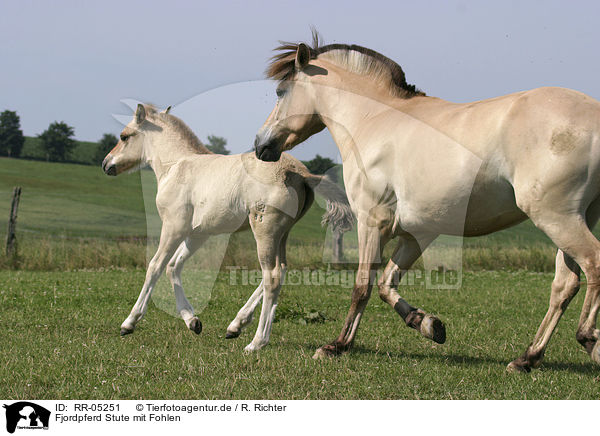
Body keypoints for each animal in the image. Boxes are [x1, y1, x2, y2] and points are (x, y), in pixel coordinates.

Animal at [102, 103, 352, 350]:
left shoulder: (174, 227)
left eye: (124, 136)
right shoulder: (197, 234)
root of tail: (301, 173)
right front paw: (192, 321)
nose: (106, 163)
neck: (176, 165)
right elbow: (173, 266)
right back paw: (236, 325)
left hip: (265, 231)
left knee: (271, 276)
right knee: (280, 270)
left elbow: (155, 266)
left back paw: (256, 342)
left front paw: (129, 322)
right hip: (282, 234)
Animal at [253, 32, 600, 372]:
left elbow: (363, 285)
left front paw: (336, 346)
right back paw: (527, 358)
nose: (260, 145)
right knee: (565, 285)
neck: (374, 120)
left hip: (556, 217)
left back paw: (587, 338)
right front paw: (429, 325)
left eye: (281, 91)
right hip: (578, 217)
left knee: (593, 263)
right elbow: (386, 284)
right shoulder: (416, 233)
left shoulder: (372, 222)